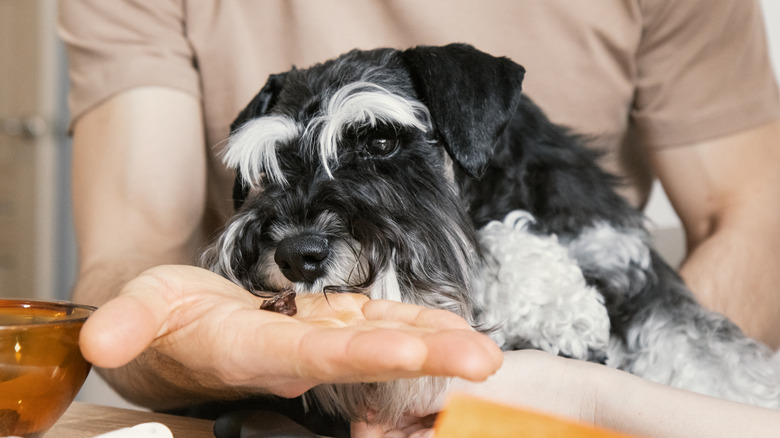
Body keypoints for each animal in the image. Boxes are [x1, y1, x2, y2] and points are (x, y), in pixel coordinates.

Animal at [201, 44, 780, 424]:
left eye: (381, 140)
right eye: (272, 163)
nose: (298, 254)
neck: (487, 199)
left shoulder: (637, 281)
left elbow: (715, 361)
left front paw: (560, 305)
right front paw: (559, 304)